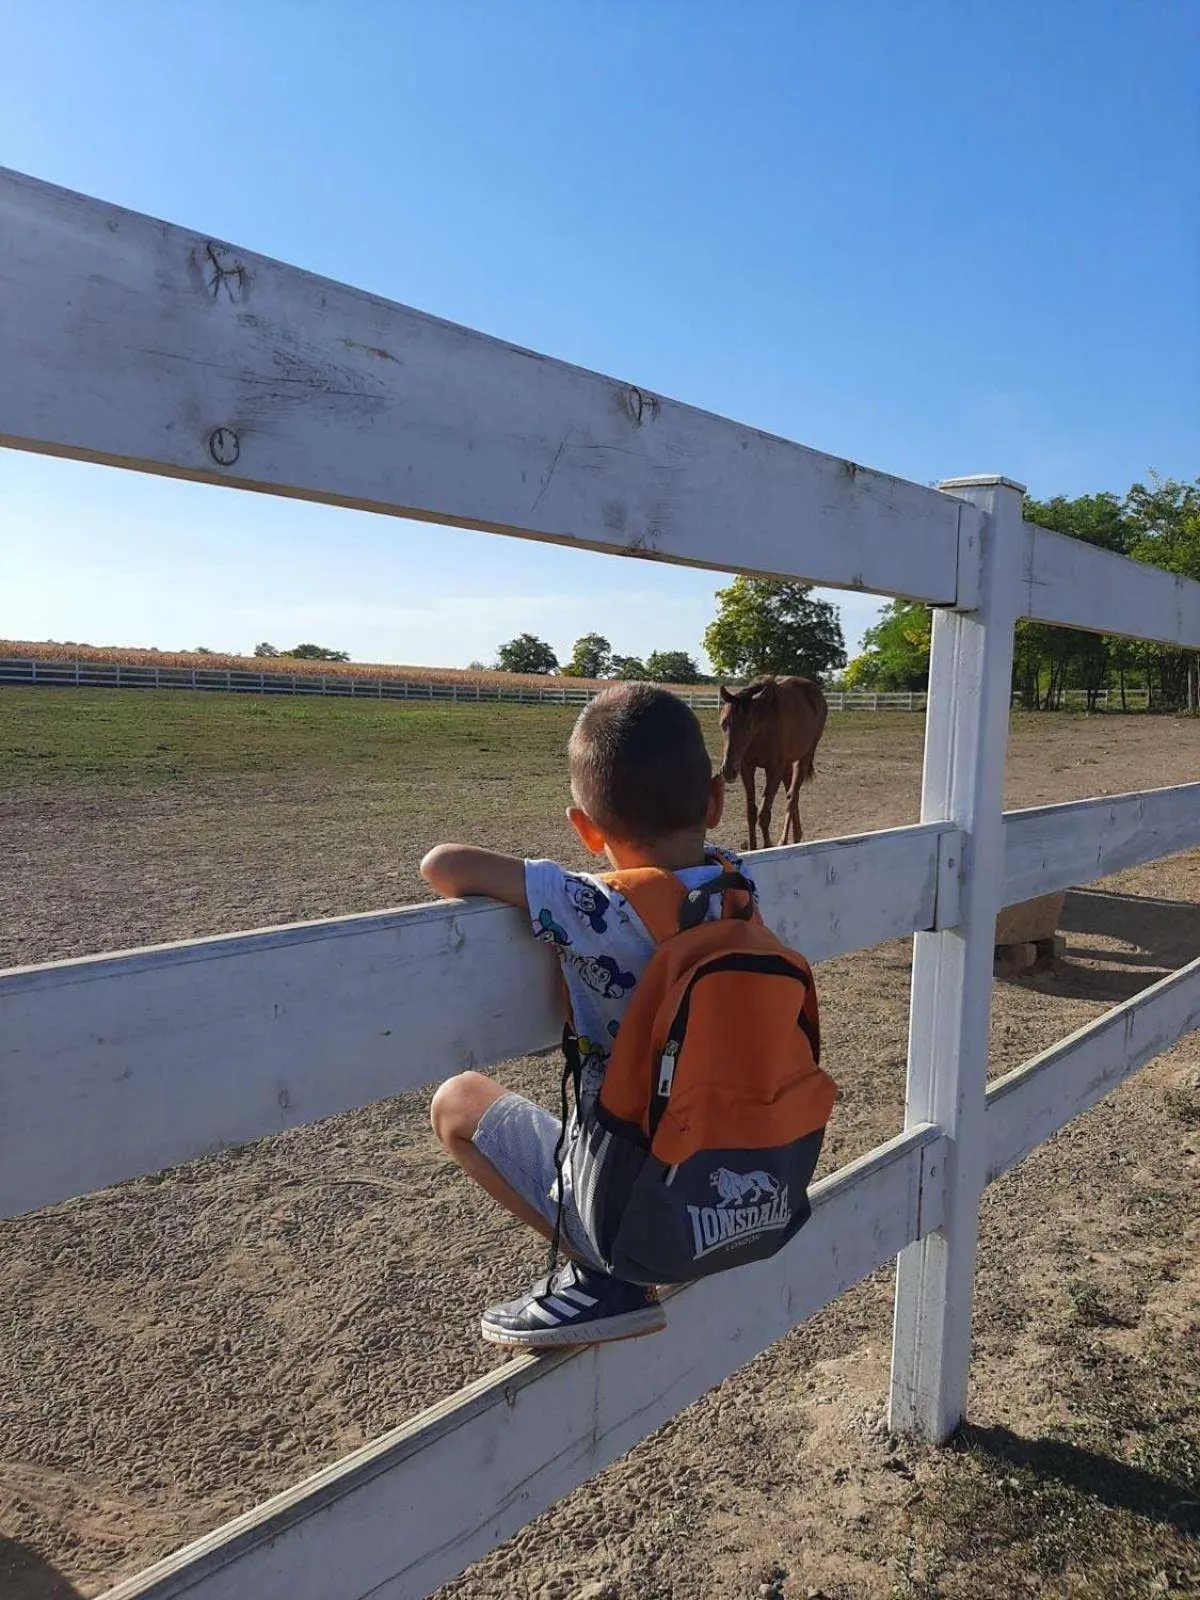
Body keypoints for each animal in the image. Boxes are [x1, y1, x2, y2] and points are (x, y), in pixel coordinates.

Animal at [717, 676, 828, 850]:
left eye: (748, 726)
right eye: (723, 723)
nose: (728, 770)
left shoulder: (774, 769)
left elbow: (764, 814)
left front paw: (767, 846)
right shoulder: (746, 767)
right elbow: (751, 812)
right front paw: (753, 848)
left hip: (803, 758)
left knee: (792, 797)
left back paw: (784, 841)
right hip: (787, 765)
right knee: (791, 794)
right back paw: (796, 836)